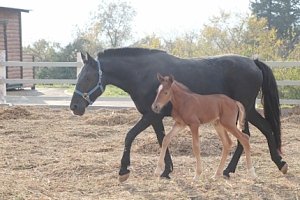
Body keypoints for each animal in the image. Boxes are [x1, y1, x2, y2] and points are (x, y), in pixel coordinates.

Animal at [70, 47, 288, 182]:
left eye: (87, 77)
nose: (74, 106)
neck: (141, 74)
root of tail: (254, 62)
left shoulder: (150, 115)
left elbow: (129, 136)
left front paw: (124, 170)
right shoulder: (156, 117)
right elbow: (162, 140)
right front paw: (166, 170)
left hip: (246, 110)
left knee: (257, 133)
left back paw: (278, 164)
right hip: (244, 113)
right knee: (254, 134)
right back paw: (231, 170)